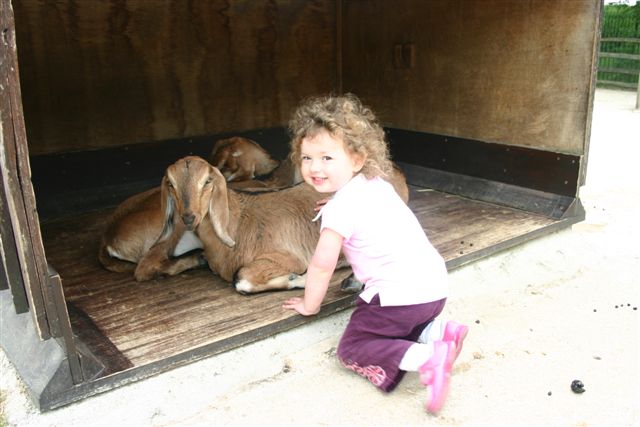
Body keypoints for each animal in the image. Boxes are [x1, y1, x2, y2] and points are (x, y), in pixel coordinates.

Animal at [99, 156, 350, 294]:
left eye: (207, 181)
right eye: (170, 183)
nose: (189, 217)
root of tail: (108, 236)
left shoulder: (289, 257)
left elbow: (242, 278)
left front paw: (300, 279)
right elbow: (241, 279)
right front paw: (298, 279)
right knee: (145, 267)